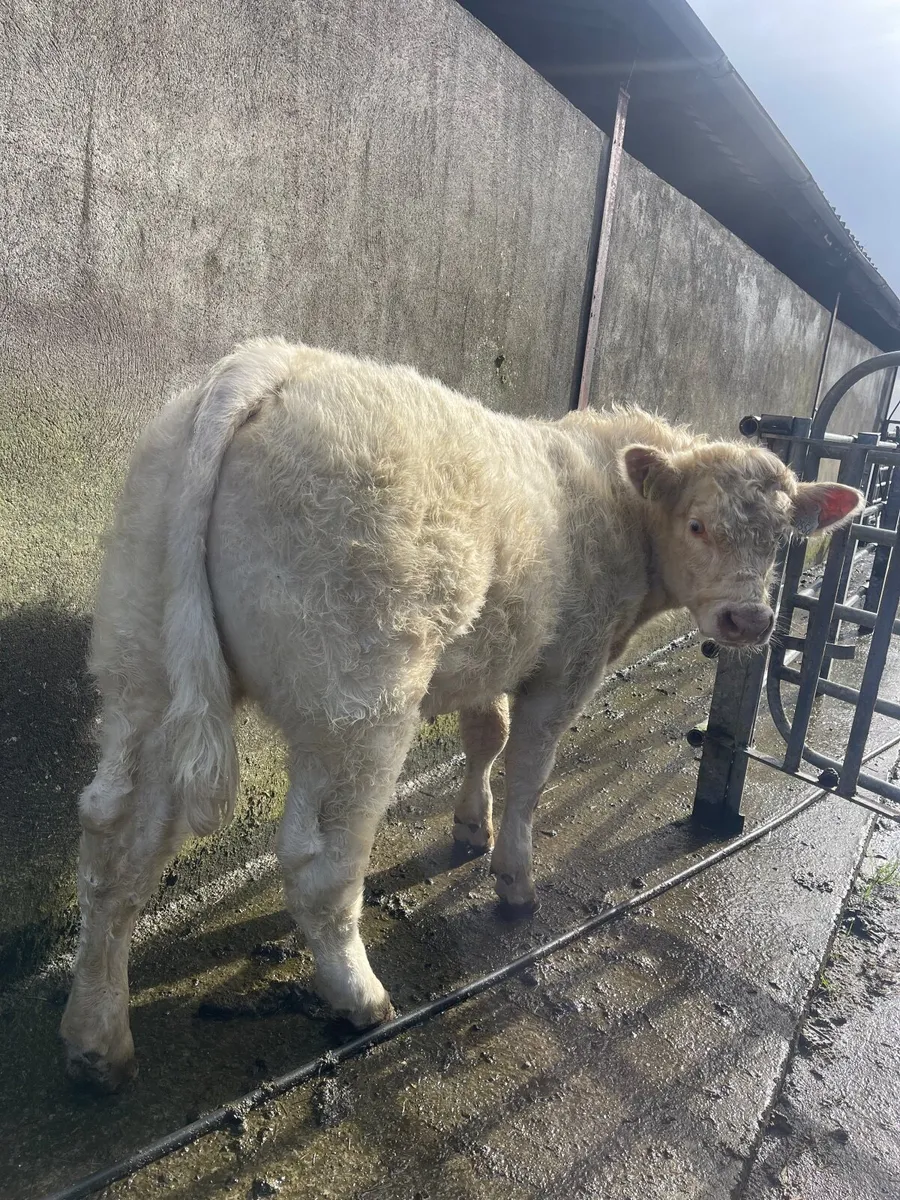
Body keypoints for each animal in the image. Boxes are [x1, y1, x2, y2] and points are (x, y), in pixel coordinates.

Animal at [60, 337, 862, 1089]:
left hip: (143, 652)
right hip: (360, 691)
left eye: (782, 539)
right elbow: (529, 767)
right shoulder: (566, 664)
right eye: (697, 525)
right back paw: (360, 998)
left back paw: (98, 1039)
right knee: (319, 862)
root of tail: (271, 363)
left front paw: (471, 827)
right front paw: (513, 878)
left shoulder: (496, 651)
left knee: (116, 843)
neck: (615, 502)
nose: (749, 620)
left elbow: (486, 734)